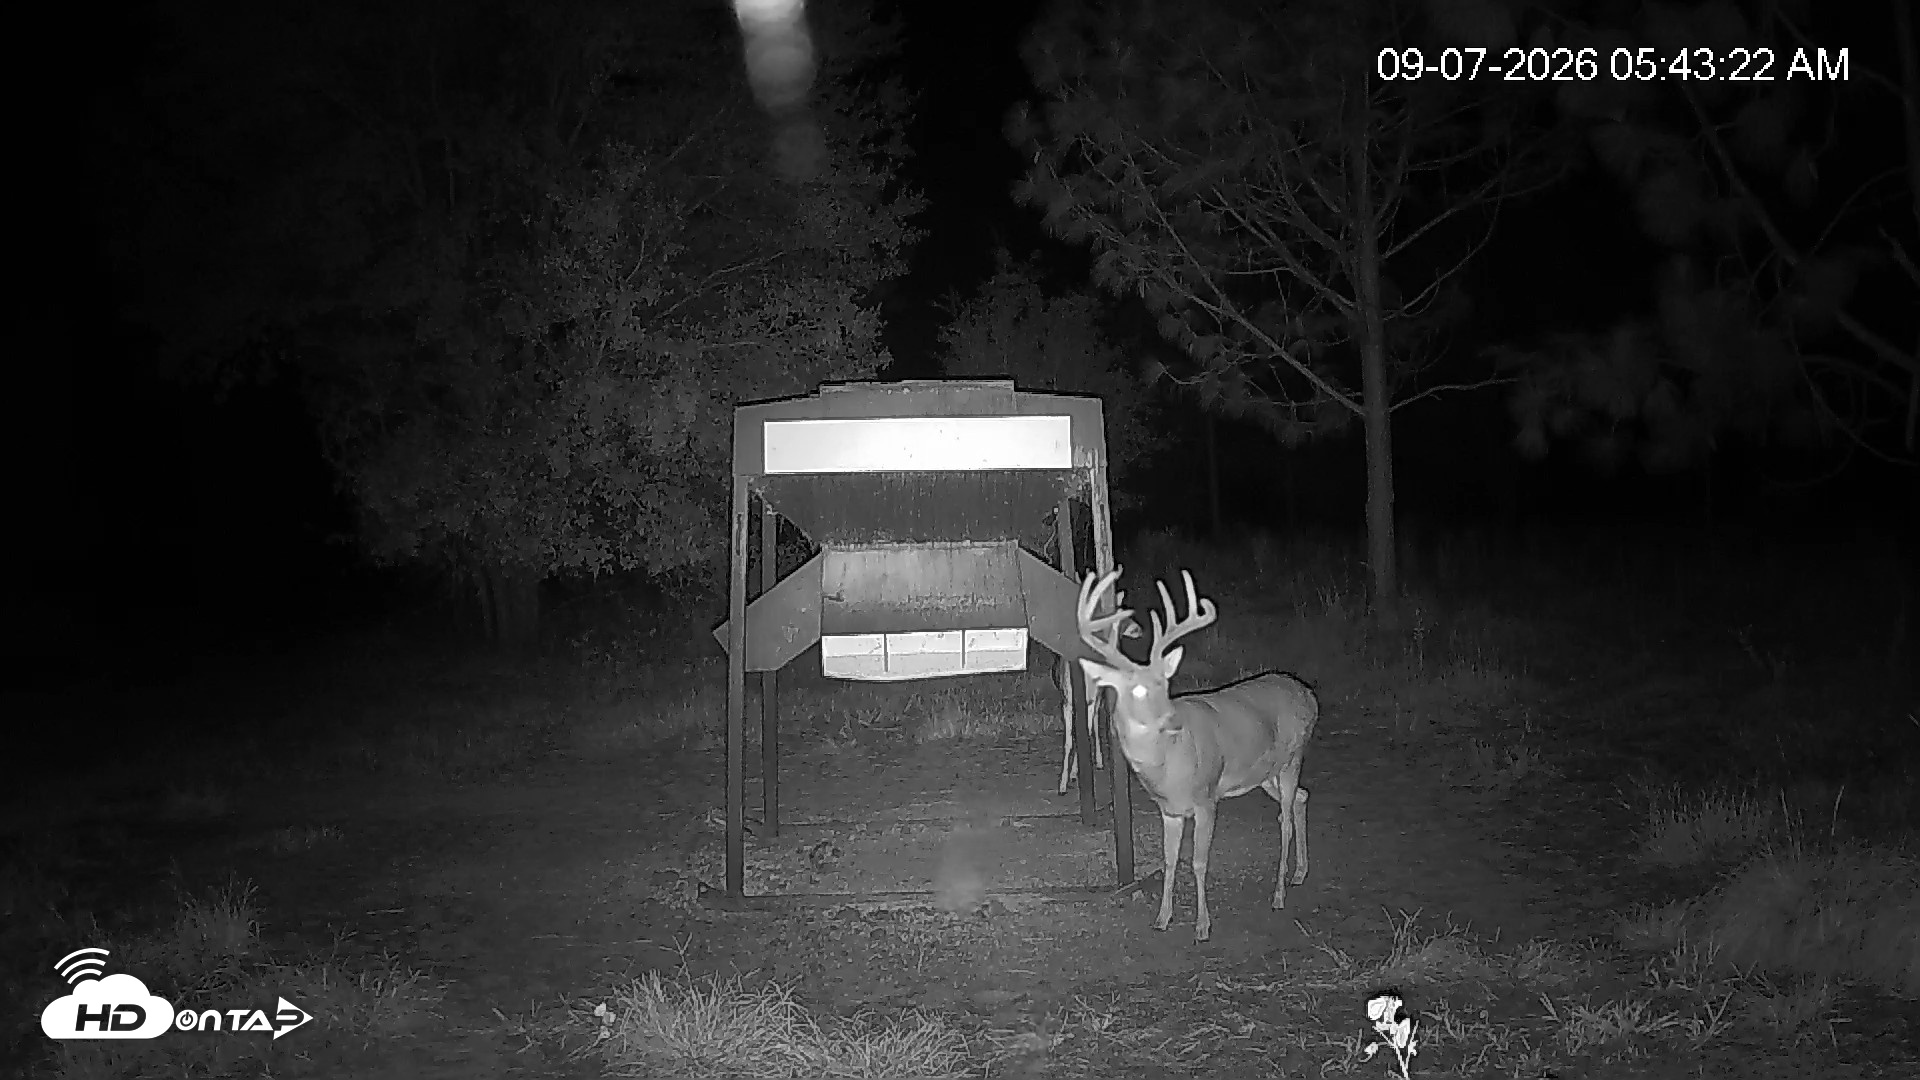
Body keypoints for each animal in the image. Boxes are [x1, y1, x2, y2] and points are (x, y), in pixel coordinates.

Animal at [1075, 566, 1319, 942]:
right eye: (1137, 689)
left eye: (1165, 683)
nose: (1172, 720)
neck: (1168, 768)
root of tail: (1309, 695)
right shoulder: (1170, 810)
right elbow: (1169, 860)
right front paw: (1162, 918)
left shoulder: (1207, 798)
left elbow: (1199, 861)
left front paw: (1202, 926)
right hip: (1265, 774)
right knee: (1302, 799)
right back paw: (1300, 873)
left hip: (1293, 757)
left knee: (1286, 820)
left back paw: (1278, 895)